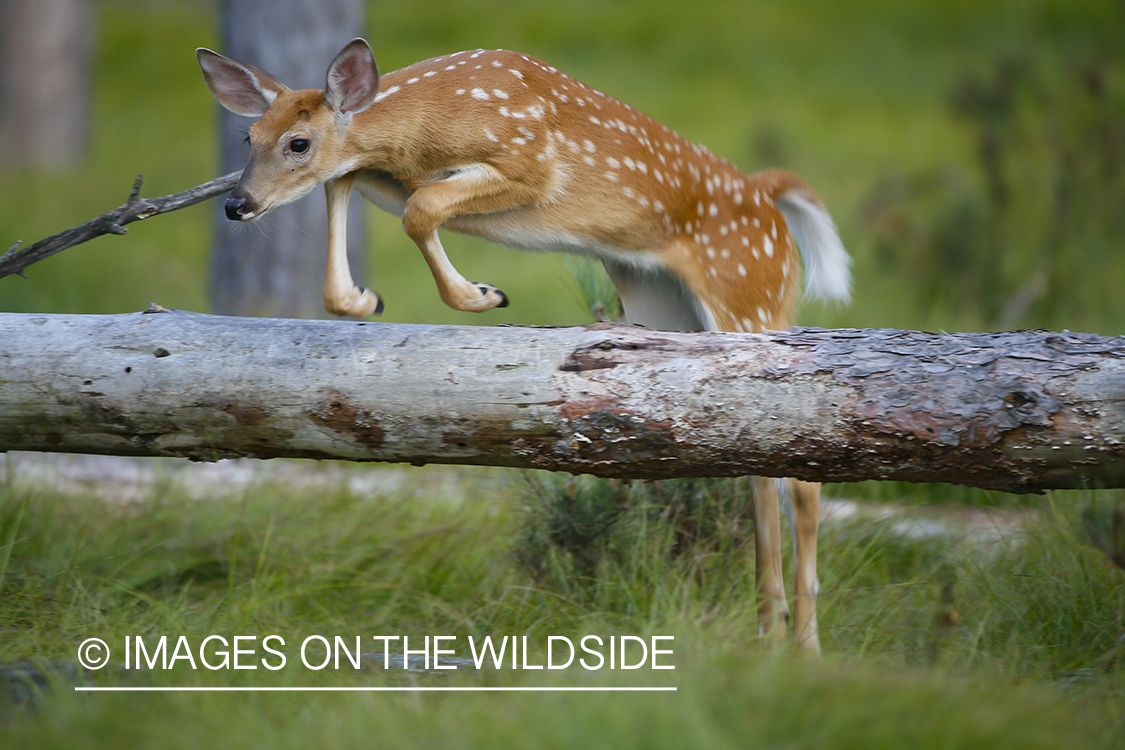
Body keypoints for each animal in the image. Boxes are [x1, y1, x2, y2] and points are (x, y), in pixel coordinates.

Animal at [196, 38, 851, 653]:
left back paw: (806, 645)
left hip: (751, 296)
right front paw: (363, 299)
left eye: (298, 143)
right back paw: (768, 632)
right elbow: (350, 192)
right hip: (665, 305)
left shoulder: (530, 166)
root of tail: (767, 196)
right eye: (249, 135)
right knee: (757, 462)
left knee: (802, 473)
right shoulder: (378, 173)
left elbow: (418, 208)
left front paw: (484, 295)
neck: (424, 130)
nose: (236, 204)